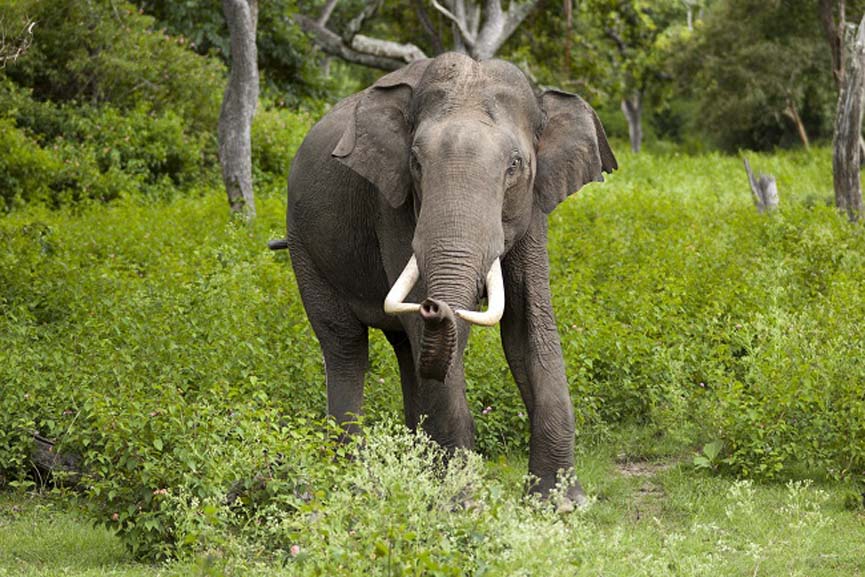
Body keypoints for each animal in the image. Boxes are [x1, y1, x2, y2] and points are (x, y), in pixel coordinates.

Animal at [274, 52, 616, 504]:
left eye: (515, 165)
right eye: (416, 163)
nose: (435, 305)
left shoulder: (534, 207)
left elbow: (528, 324)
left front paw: (560, 504)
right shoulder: (392, 203)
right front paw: (462, 502)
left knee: (405, 349)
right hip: (304, 246)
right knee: (346, 346)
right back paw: (356, 478)